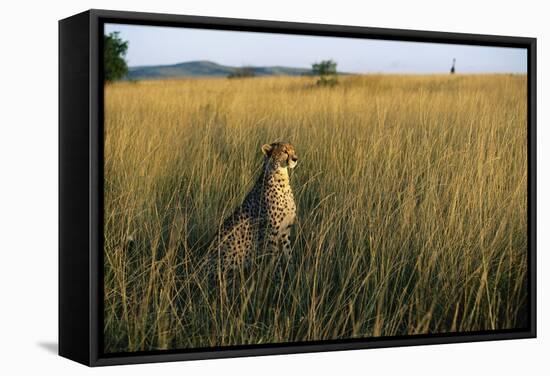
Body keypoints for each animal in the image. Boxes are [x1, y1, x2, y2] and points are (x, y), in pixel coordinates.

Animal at [206, 141, 300, 282]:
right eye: (284, 151)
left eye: (293, 150)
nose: (295, 158)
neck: (281, 179)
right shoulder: (270, 235)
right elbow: (275, 263)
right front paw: (279, 283)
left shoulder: (285, 231)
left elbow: (289, 257)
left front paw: (294, 278)